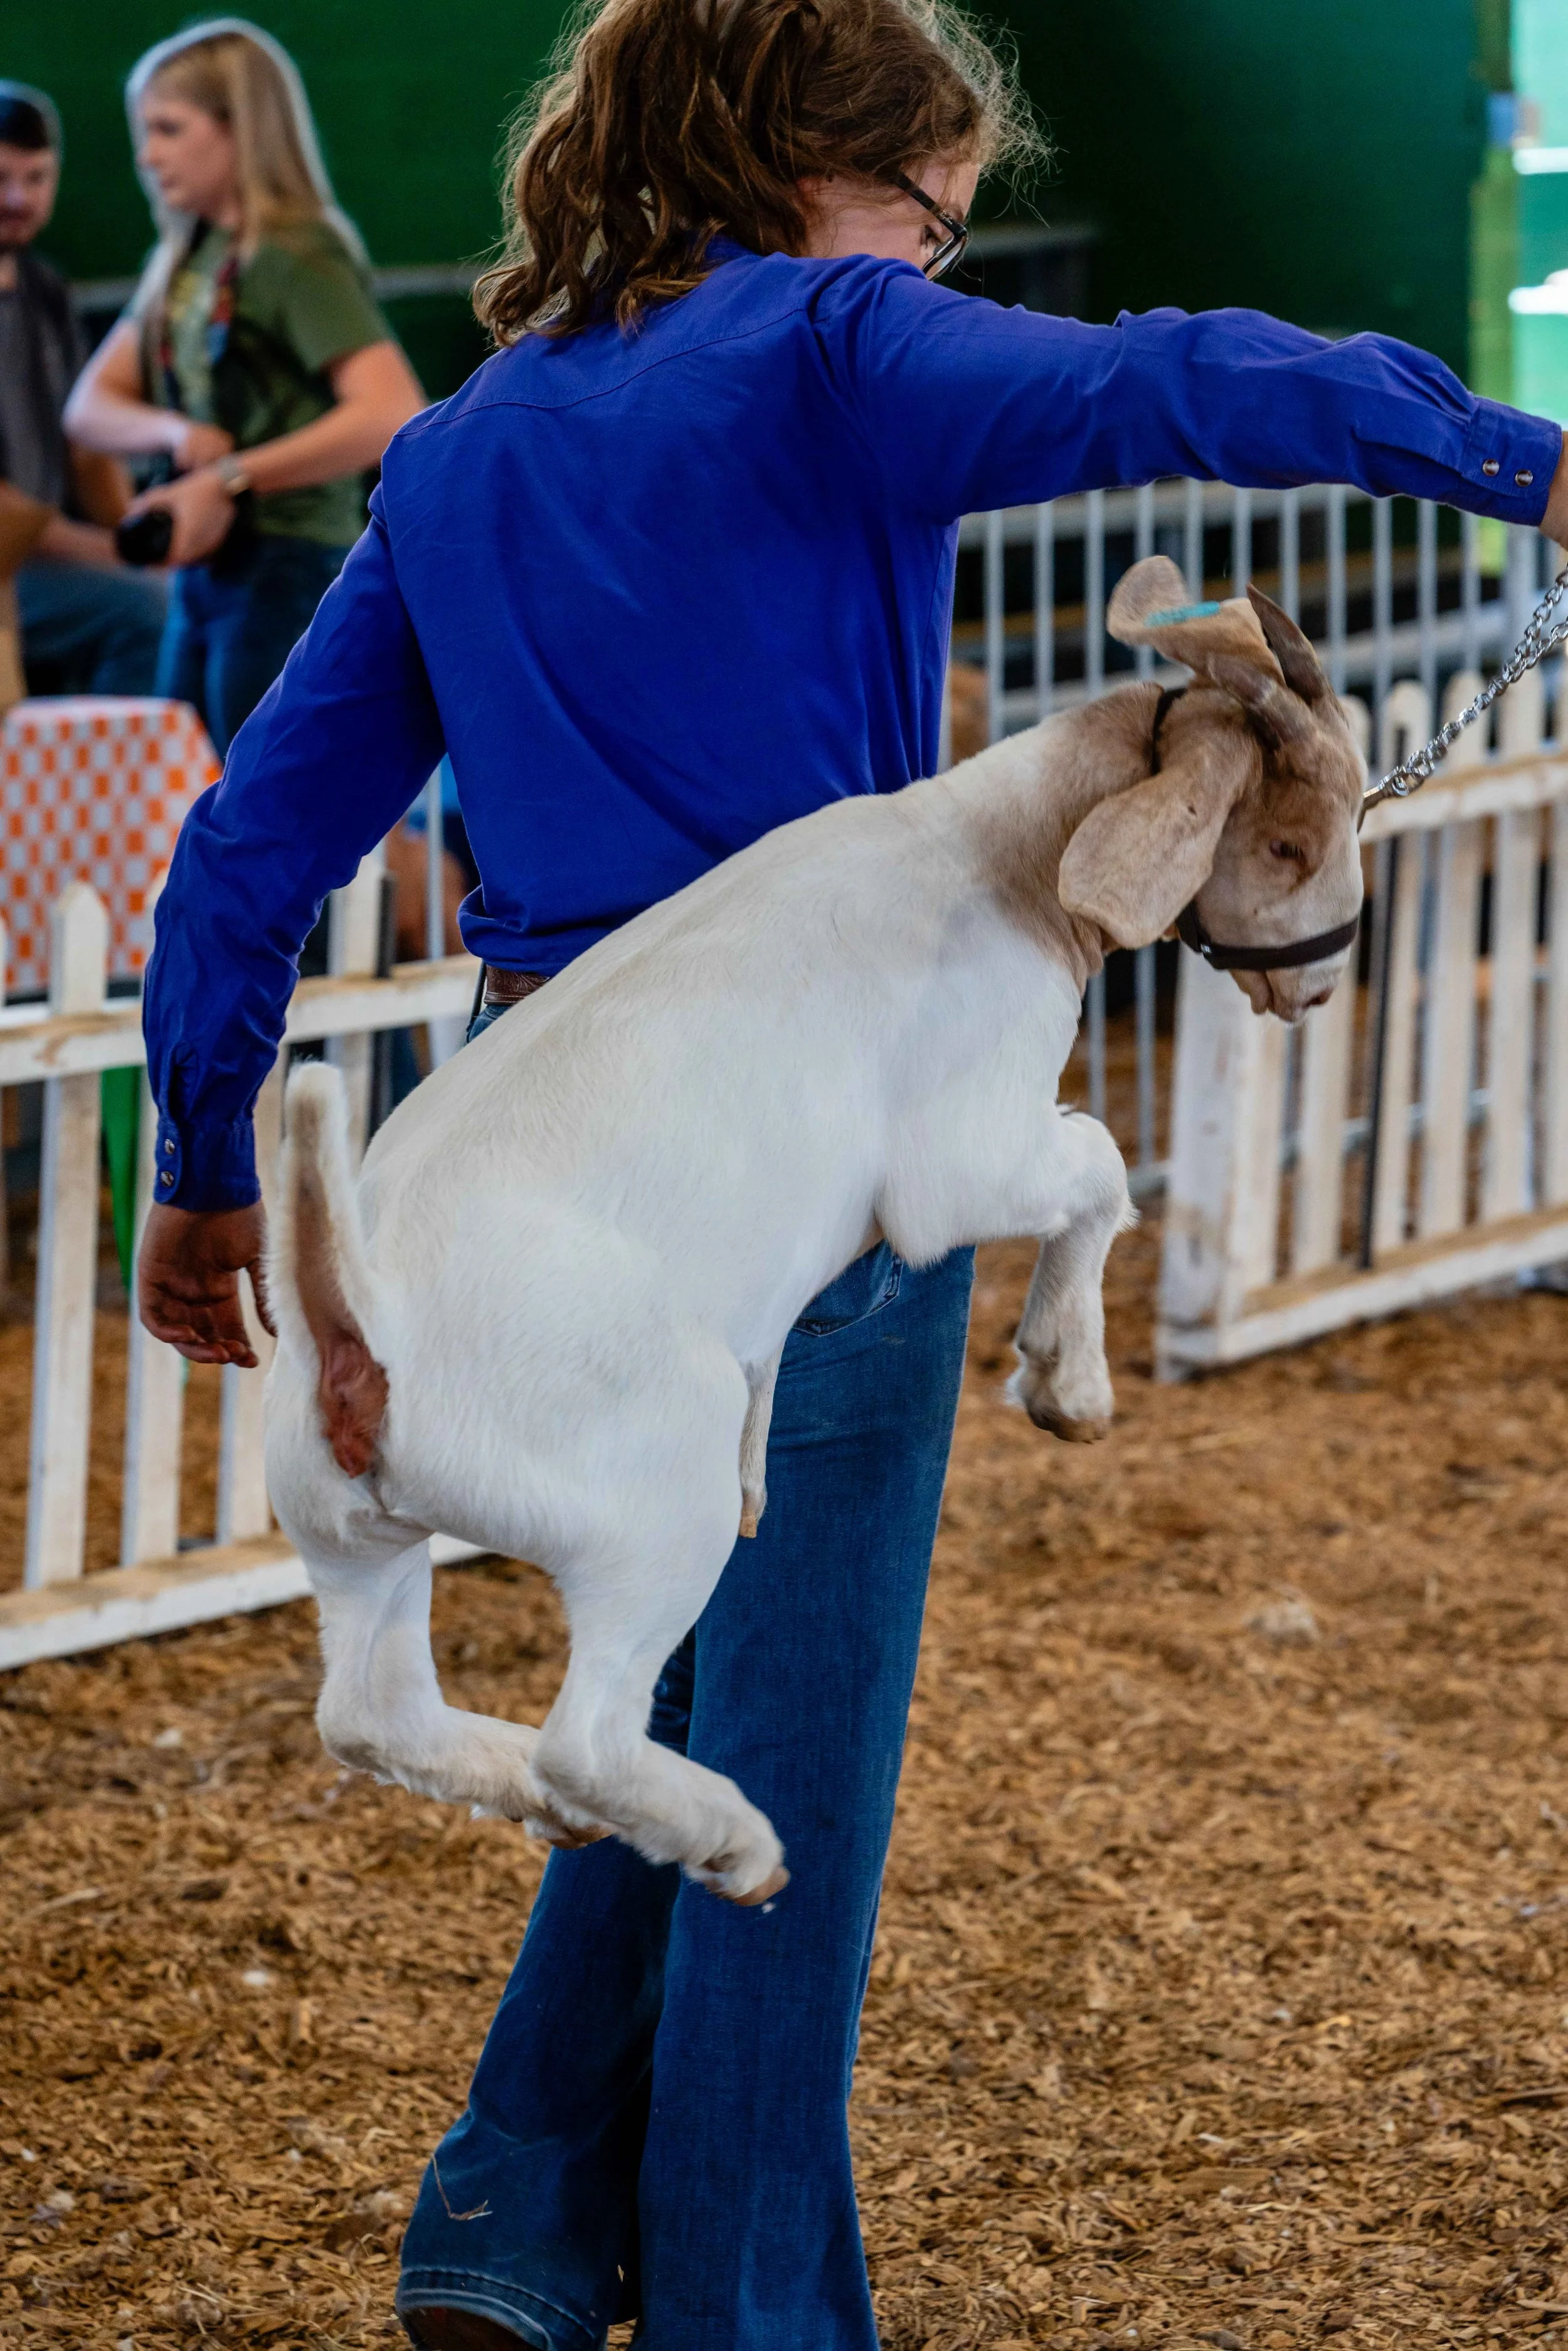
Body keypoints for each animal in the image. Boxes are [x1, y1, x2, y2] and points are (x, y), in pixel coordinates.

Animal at [263, 557, 1365, 1903]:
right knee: (588, 1732)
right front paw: (1069, 1383)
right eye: (1287, 839)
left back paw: (535, 1795)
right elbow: (1099, 1162)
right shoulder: (960, 1154)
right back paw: (726, 1838)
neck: (999, 847)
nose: (1321, 979)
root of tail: (357, 1316)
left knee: (371, 1716)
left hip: (343, 1532)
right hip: (646, 1504)